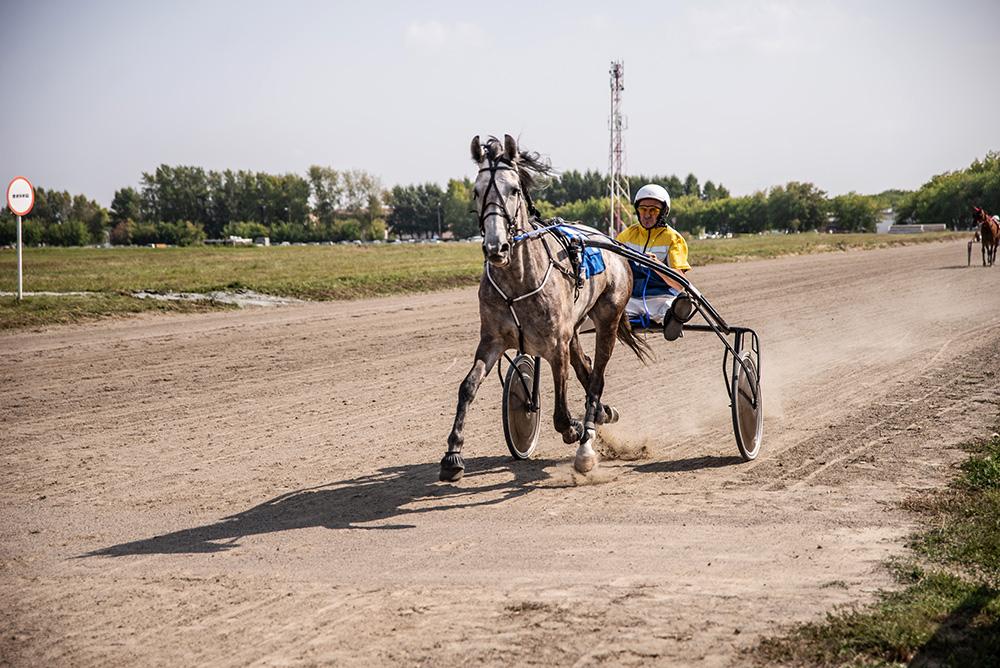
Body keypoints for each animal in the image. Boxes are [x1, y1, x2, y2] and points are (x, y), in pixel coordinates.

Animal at [442, 134, 652, 480]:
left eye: (514, 189)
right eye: (476, 190)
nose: (496, 247)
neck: (517, 281)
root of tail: (608, 239)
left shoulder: (555, 344)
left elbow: (561, 413)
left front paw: (576, 428)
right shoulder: (492, 340)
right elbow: (467, 388)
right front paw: (452, 454)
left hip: (608, 316)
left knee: (596, 377)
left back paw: (588, 438)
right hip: (575, 327)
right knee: (586, 367)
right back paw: (602, 412)